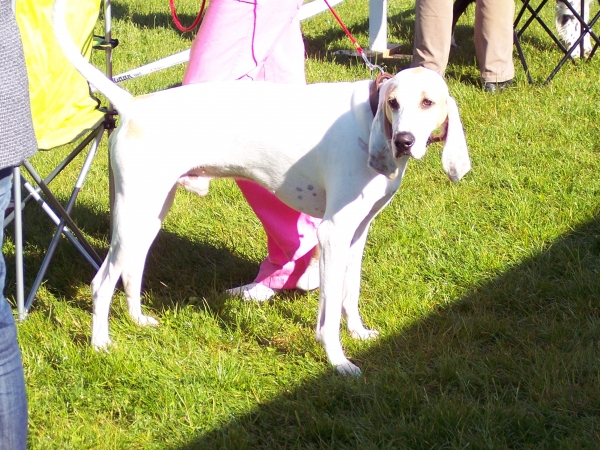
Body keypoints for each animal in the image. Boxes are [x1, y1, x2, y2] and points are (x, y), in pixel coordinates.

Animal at [53, 0, 471, 375]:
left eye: (428, 103)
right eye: (394, 103)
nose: (403, 141)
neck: (369, 114)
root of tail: (134, 105)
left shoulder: (357, 233)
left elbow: (348, 295)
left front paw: (358, 333)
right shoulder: (334, 233)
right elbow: (330, 311)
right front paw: (338, 361)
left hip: (150, 214)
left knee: (131, 270)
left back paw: (138, 320)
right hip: (134, 216)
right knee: (101, 281)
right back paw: (100, 344)